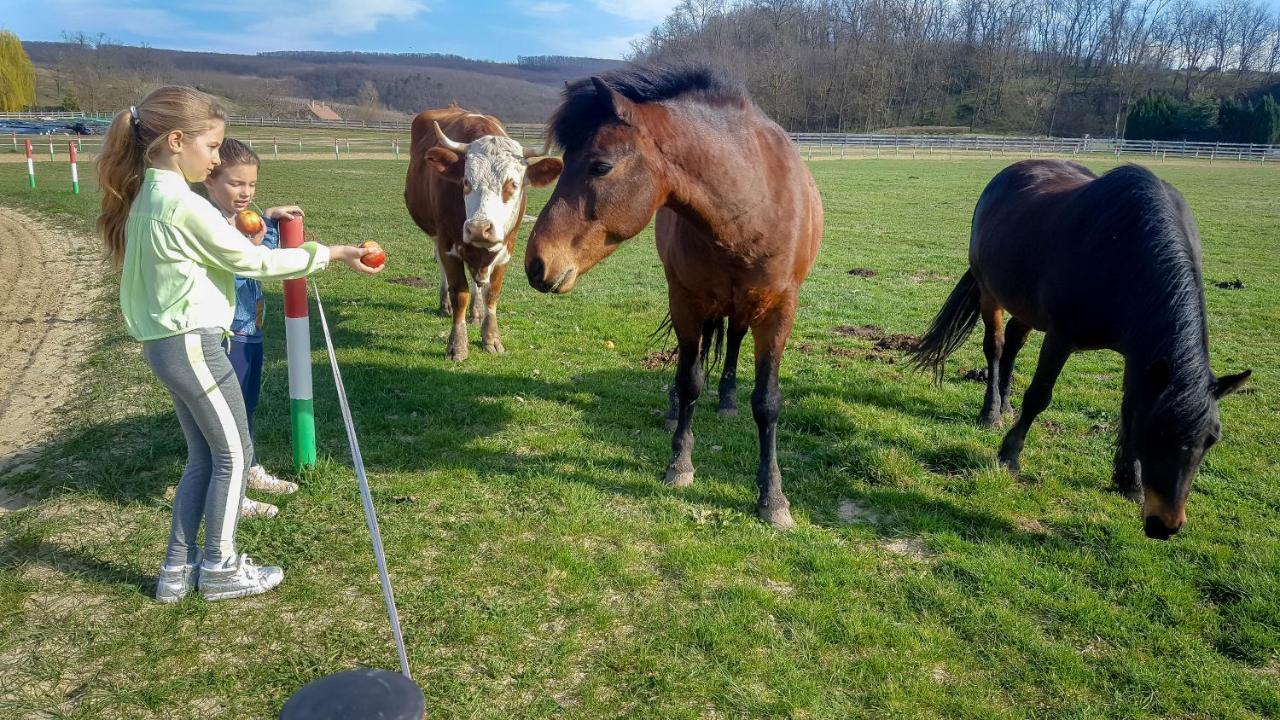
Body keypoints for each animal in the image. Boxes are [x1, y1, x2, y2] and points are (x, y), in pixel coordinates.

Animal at [399, 105, 560, 358]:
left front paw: (491, 337)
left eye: (513, 184)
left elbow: (492, 293)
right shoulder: (448, 244)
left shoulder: (507, 249)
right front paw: (457, 344)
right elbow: (459, 293)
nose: (478, 229)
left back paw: (476, 312)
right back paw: (445, 304)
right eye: (465, 181)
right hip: (436, 235)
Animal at [524, 67, 824, 527]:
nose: (536, 263)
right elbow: (689, 380)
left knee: (733, 341)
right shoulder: (686, 302)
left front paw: (773, 498)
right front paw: (680, 464)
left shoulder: (779, 310)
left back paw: (728, 400)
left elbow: (767, 402)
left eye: (600, 166)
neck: (750, 206)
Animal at [911, 158, 1249, 538]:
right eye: (1157, 433)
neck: (1125, 254)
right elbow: (1039, 396)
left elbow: (1129, 409)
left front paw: (1129, 482)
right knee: (996, 348)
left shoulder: (1138, 354)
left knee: (1013, 344)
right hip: (989, 293)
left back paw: (1007, 404)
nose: (1166, 526)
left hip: (1025, 306)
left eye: (1211, 440)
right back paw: (992, 412)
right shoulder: (1061, 336)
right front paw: (1009, 455)